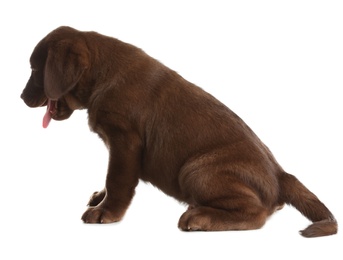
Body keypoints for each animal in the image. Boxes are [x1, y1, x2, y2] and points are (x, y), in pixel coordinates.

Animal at [21, 25, 338, 236]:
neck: (101, 75)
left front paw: (106, 213)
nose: (22, 98)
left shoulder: (125, 141)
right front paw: (100, 197)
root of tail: (281, 175)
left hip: (195, 170)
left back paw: (199, 217)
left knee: (258, 213)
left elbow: (117, 180)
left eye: (36, 70)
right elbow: (110, 180)